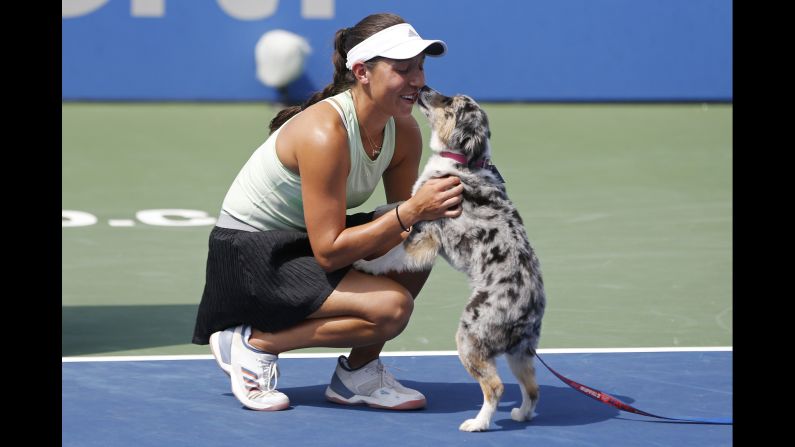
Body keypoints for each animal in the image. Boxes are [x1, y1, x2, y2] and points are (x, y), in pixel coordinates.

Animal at [354, 86, 548, 432]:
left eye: (450, 104)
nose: (424, 88)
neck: (462, 161)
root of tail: (529, 310)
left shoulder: (424, 238)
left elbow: (389, 255)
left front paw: (364, 264)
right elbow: (399, 204)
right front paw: (379, 211)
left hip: (468, 339)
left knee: (495, 387)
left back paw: (478, 423)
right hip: (520, 354)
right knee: (532, 387)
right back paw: (521, 415)